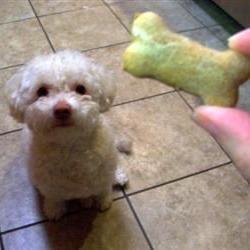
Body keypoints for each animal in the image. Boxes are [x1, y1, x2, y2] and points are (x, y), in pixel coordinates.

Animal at [5, 49, 130, 220]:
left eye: (81, 89)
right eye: (41, 91)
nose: (62, 109)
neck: (69, 145)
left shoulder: (103, 172)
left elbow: (104, 189)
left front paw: (103, 201)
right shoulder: (49, 184)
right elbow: (53, 197)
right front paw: (53, 210)